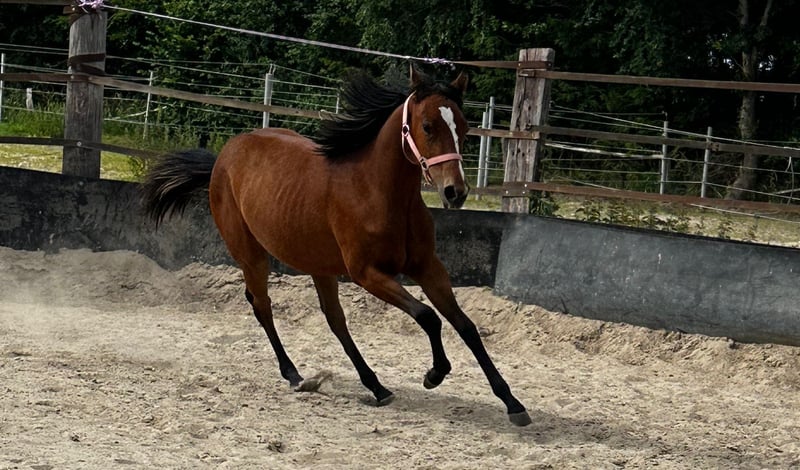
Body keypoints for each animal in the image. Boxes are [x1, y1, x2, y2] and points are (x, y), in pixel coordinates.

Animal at [141, 67, 531, 426]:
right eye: (428, 125)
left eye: (463, 127)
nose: (455, 193)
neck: (378, 192)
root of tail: (224, 156)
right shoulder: (367, 273)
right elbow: (428, 316)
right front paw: (434, 374)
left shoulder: (427, 266)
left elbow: (465, 326)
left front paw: (513, 403)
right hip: (251, 254)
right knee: (263, 306)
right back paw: (294, 375)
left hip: (319, 264)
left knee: (334, 319)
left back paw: (377, 386)